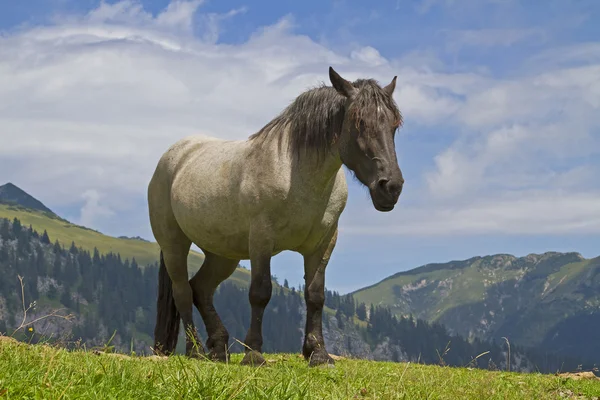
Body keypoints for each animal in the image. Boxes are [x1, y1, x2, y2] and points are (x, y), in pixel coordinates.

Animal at [148, 67, 406, 368]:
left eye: (393, 126)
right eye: (360, 123)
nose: (390, 187)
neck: (298, 176)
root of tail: (175, 155)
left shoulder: (323, 244)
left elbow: (315, 295)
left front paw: (318, 353)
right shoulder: (261, 239)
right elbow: (260, 292)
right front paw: (253, 353)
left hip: (223, 254)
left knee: (200, 289)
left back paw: (219, 348)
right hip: (174, 245)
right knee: (183, 292)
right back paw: (196, 350)